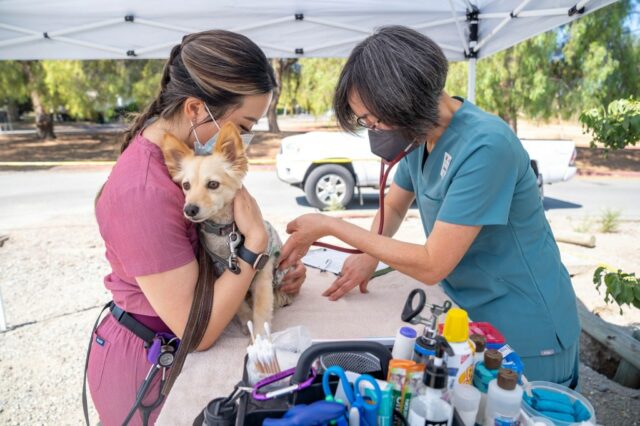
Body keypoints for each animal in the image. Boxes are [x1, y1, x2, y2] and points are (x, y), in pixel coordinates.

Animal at [160, 121, 292, 334]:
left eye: (213, 184)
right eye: (186, 186)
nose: (189, 209)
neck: (224, 233)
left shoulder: (263, 272)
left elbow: (262, 309)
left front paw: (260, 335)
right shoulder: (222, 272)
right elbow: (238, 305)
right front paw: (246, 320)